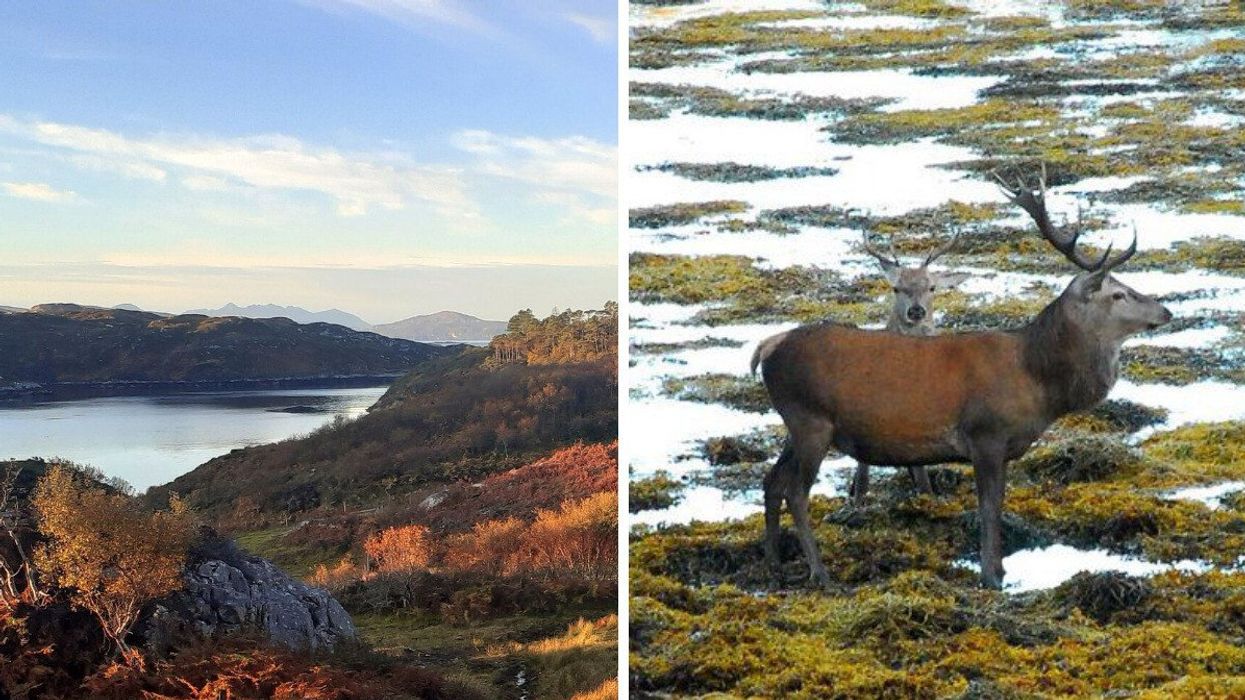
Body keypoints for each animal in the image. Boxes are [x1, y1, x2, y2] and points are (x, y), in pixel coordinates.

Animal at [753, 165, 1172, 589]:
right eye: (1118, 294)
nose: (1165, 311)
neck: (1038, 381)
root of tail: (766, 348)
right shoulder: (985, 435)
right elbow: (989, 508)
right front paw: (991, 575)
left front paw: (999, 570)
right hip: (811, 420)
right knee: (795, 492)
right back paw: (819, 573)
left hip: (795, 425)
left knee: (771, 482)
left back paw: (773, 563)